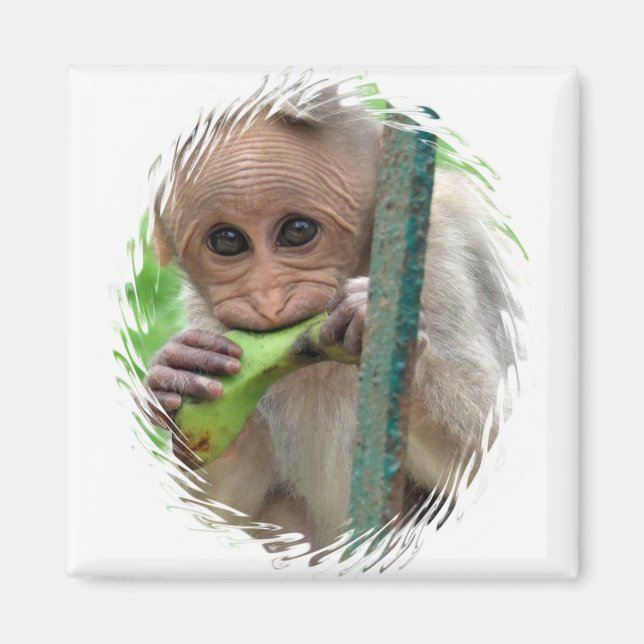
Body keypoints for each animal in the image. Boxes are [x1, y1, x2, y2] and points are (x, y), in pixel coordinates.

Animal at [144, 83, 523, 549]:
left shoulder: (440, 259)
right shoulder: (206, 316)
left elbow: (487, 443)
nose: (269, 300)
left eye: (297, 231)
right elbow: (232, 509)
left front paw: (370, 316)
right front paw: (179, 371)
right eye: (227, 240)